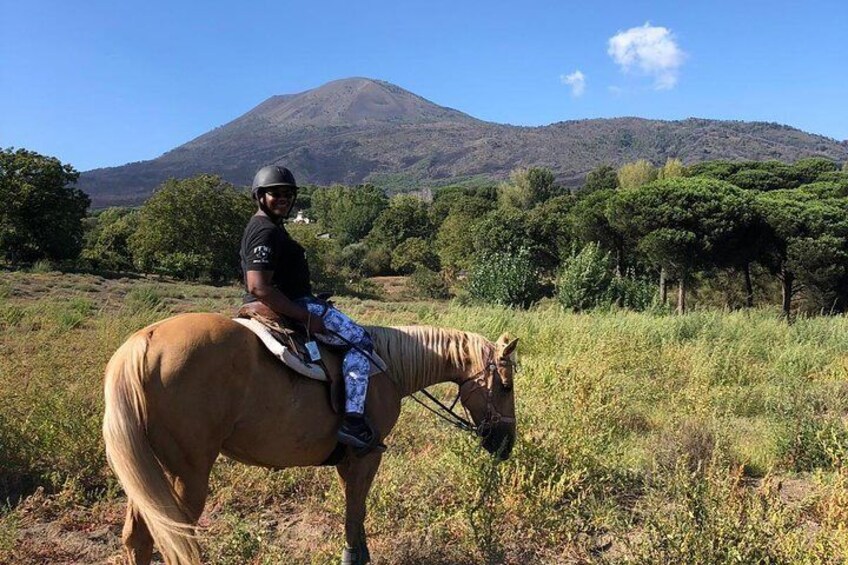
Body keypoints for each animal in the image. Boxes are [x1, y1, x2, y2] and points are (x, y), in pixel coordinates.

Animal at [105, 310, 516, 560]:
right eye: (506, 386)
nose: (505, 445)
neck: (385, 368)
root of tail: (143, 341)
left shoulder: (346, 462)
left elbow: (352, 514)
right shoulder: (367, 456)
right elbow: (356, 514)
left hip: (153, 471)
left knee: (140, 537)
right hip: (187, 475)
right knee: (175, 541)